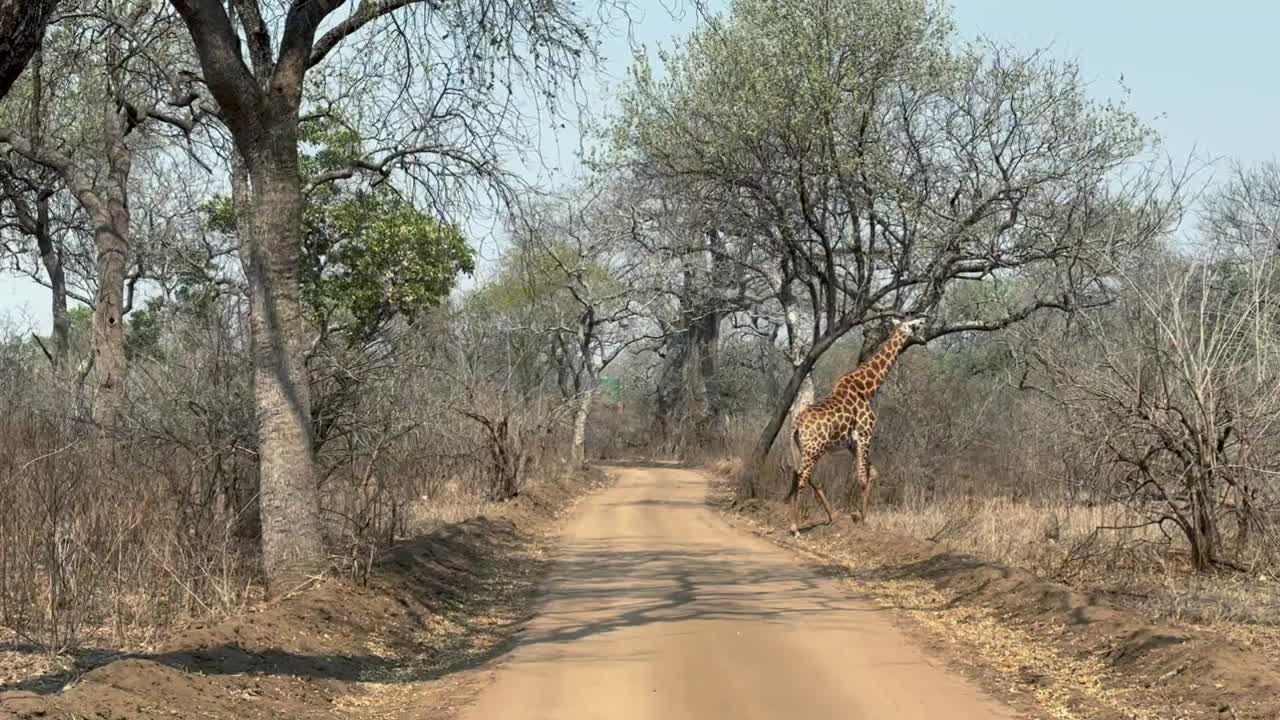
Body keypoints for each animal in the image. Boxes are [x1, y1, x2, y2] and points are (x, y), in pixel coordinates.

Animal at [787, 317, 925, 536]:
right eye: (917, 326)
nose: (923, 339)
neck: (867, 389)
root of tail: (797, 425)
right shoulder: (865, 434)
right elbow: (861, 477)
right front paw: (862, 519)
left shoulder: (851, 443)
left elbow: (873, 472)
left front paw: (862, 516)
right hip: (813, 450)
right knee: (802, 478)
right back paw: (795, 527)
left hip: (804, 449)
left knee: (802, 476)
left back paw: (831, 516)